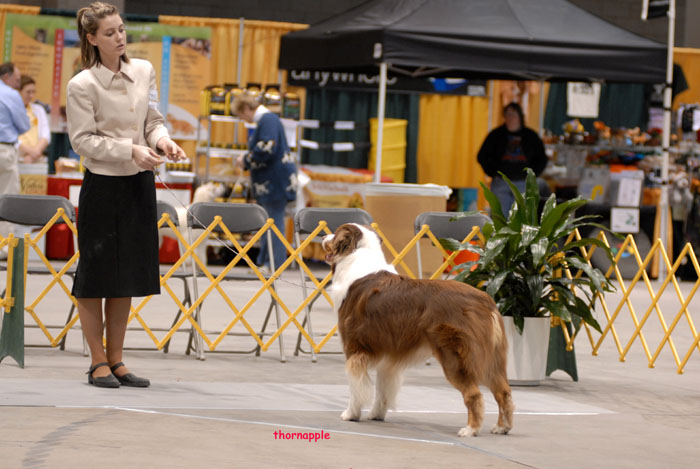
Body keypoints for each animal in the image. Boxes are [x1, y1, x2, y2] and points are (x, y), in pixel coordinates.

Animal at [322, 223, 514, 437]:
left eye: (335, 235)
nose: (322, 237)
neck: (357, 255)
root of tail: (485, 300)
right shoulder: (389, 355)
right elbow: (383, 389)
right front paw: (376, 414)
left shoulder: (354, 349)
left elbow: (356, 387)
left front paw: (351, 414)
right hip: (490, 358)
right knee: (503, 391)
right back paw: (502, 427)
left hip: (456, 357)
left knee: (474, 394)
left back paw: (470, 429)